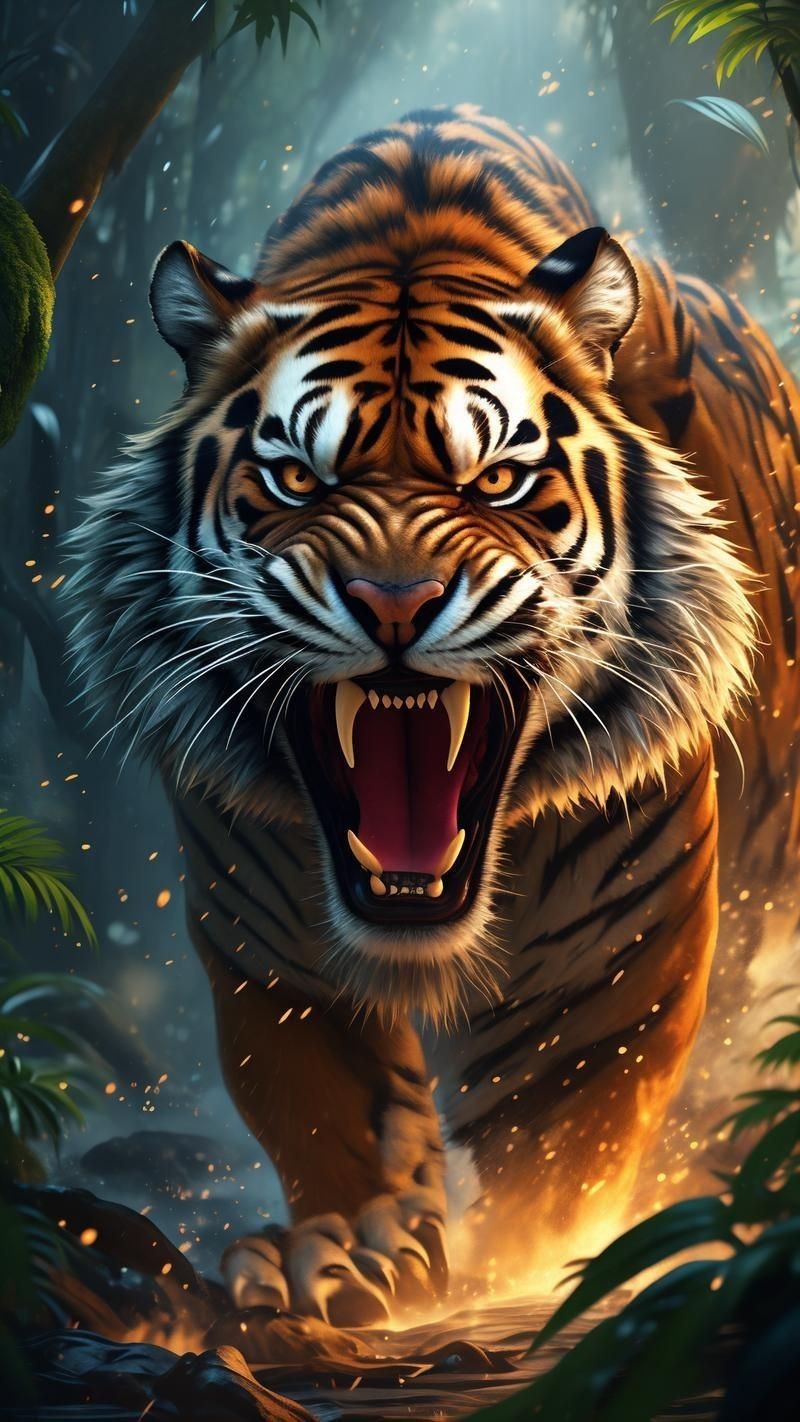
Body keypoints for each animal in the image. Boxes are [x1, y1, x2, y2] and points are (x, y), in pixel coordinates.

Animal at [67, 104, 800, 1324]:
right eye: (298, 479)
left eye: (497, 479)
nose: (396, 603)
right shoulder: (275, 962)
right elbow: (329, 1116)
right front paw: (343, 1258)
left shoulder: (605, 979)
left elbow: (555, 1161)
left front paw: (532, 1272)